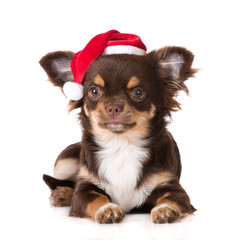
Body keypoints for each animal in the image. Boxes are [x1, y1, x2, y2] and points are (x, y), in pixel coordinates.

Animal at [39, 41, 197, 223]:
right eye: (94, 92)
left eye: (138, 93)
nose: (113, 107)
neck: (121, 144)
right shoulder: (84, 188)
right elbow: (94, 196)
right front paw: (107, 208)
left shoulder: (172, 186)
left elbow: (171, 197)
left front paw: (165, 209)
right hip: (63, 163)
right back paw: (63, 194)